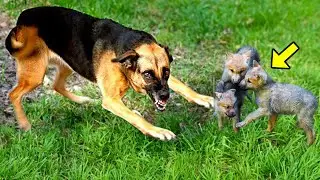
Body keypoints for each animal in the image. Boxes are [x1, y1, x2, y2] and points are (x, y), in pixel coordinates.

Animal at [5, 6, 214, 141]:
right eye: (147, 74)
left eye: (167, 72)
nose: (165, 96)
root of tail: (21, 19)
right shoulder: (111, 100)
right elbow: (136, 118)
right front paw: (157, 131)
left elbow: (180, 85)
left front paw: (202, 98)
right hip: (35, 74)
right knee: (14, 94)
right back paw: (25, 124)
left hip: (70, 63)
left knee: (57, 85)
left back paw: (83, 100)